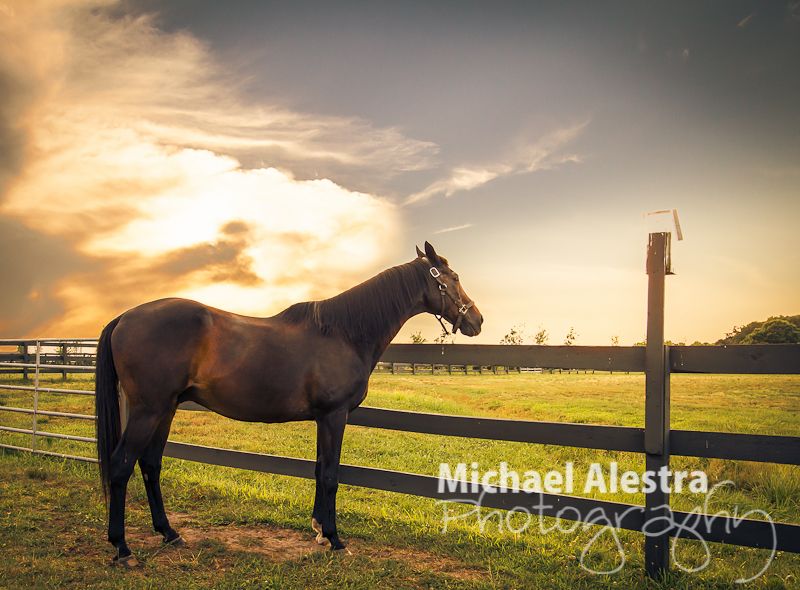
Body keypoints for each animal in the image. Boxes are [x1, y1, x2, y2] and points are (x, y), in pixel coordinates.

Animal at [94, 241, 483, 566]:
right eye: (453, 278)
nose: (477, 320)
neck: (343, 333)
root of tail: (124, 317)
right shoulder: (335, 416)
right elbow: (331, 475)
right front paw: (336, 540)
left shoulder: (323, 418)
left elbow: (319, 470)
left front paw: (319, 531)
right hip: (148, 410)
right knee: (121, 465)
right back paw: (122, 549)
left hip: (166, 409)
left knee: (150, 464)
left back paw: (169, 533)